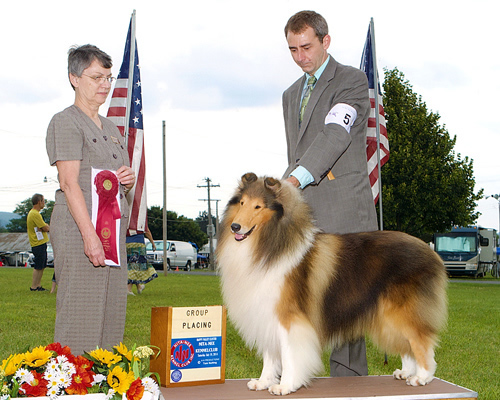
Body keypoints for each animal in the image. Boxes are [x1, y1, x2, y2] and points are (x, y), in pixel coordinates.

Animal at [217, 173, 448, 396]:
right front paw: (264, 382)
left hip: (404, 311)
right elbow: (270, 355)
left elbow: (289, 353)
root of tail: (430, 251)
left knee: (420, 341)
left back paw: (422, 376)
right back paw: (407, 372)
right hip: (388, 314)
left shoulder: (288, 316)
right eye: (242, 203)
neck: (268, 244)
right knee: (406, 343)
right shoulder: (266, 312)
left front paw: (285, 385)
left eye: (258, 206)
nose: (235, 226)